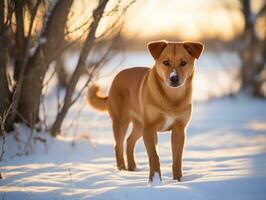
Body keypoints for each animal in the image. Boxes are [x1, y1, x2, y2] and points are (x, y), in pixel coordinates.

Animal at [87, 39, 204, 182]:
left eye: (183, 63)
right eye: (166, 62)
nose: (174, 78)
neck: (171, 98)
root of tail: (117, 76)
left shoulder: (179, 130)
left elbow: (177, 159)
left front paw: (177, 181)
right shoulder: (149, 128)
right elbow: (154, 157)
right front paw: (154, 180)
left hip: (139, 125)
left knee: (129, 141)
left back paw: (132, 169)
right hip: (122, 122)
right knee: (118, 146)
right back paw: (122, 172)